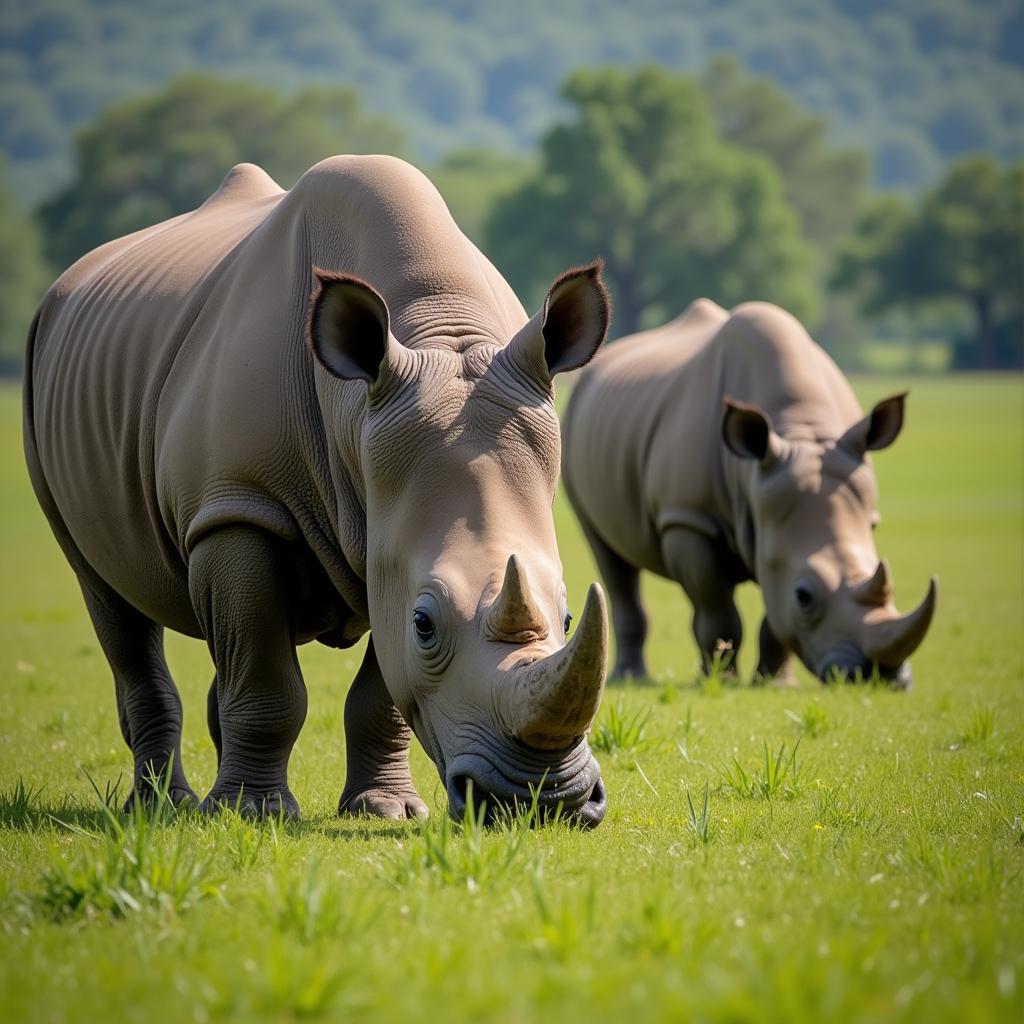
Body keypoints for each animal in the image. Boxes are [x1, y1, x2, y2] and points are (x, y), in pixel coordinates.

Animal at [24, 155, 610, 823]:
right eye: (425, 625)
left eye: (568, 617)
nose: (545, 801)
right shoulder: (239, 505)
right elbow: (268, 679)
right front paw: (254, 814)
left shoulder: (388, 537)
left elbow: (377, 693)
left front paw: (386, 811)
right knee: (108, 594)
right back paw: (163, 809)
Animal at [561, 299, 937, 692]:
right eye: (804, 597)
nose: (877, 675)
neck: (802, 431)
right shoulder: (689, 519)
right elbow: (718, 612)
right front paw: (718, 679)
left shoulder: (778, 536)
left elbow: (775, 616)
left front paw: (775, 683)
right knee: (609, 557)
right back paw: (632, 676)